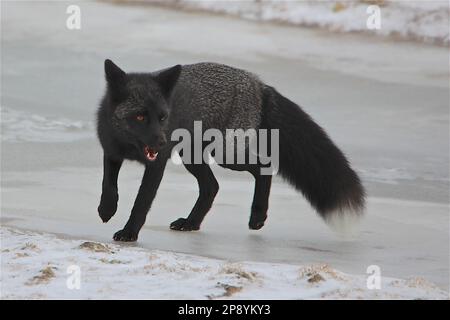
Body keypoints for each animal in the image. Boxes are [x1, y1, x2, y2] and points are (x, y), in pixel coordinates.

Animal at [96, 59, 364, 240]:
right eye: (140, 117)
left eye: (163, 117)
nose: (162, 141)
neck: (129, 146)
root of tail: (259, 84)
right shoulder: (111, 152)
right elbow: (108, 185)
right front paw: (107, 210)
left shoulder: (156, 164)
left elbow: (141, 202)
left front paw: (130, 232)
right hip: (193, 157)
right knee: (212, 186)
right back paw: (191, 223)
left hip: (225, 154)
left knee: (264, 166)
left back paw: (257, 217)